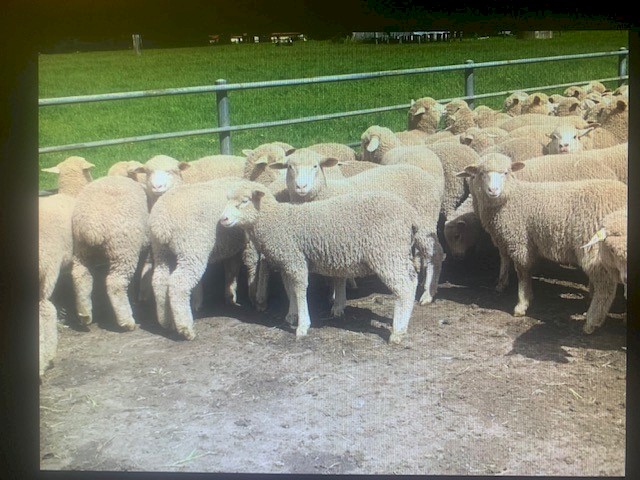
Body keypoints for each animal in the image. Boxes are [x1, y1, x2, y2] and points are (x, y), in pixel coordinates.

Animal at [70, 175, 150, 331]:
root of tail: (91, 225)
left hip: (81, 249)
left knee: (81, 275)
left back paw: (85, 314)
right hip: (124, 249)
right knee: (116, 284)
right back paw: (127, 321)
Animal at [148, 177, 248, 340]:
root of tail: (161, 224)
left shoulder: (232, 247)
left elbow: (231, 270)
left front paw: (230, 296)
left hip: (161, 251)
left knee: (159, 281)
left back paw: (165, 321)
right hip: (191, 247)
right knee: (178, 284)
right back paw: (186, 328)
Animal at [220, 181, 435, 344]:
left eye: (244, 201)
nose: (223, 219)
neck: (275, 221)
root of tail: (410, 213)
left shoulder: (295, 260)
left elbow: (299, 290)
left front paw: (303, 326)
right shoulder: (287, 262)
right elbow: (290, 290)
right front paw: (292, 315)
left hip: (387, 252)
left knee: (404, 287)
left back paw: (397, 331)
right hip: (396, 252)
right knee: (411, 280)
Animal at [270, 148, 445, 306]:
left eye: (315, 166)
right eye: (290, 167)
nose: (301, 186)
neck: (324, 193)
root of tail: (423, 174)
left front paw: (337, 297)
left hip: (425, 221)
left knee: (434, 253)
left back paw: (428, 293)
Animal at [457, 153, 627, 333]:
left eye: (506, 172)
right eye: (481, 173)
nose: (493, 191)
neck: (512, 198)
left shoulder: (519, 241)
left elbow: (522, 272)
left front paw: (522, 304)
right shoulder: (523, 243)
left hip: (594, 248)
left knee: (605, 286)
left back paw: (591, 322)